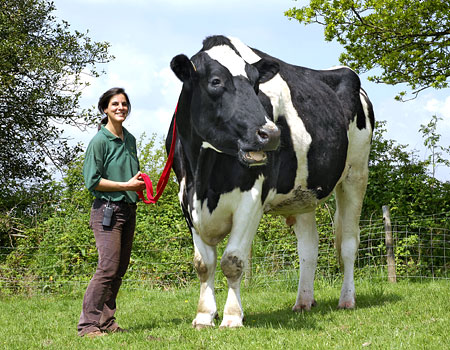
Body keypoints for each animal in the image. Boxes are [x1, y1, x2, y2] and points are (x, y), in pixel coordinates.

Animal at [167, 34, 374, 328]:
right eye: (215, 81)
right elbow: (203, 264)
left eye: (256, 84)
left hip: (356, 174)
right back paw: (303, 301)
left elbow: (232, 261)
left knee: (348, 243)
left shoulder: (252, 198)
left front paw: (232, 317)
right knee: (308, 247)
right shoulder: (186, 198)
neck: (204, 178)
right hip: (303, 194)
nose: (271, 133)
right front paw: (204, 316)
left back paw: (347, 299)